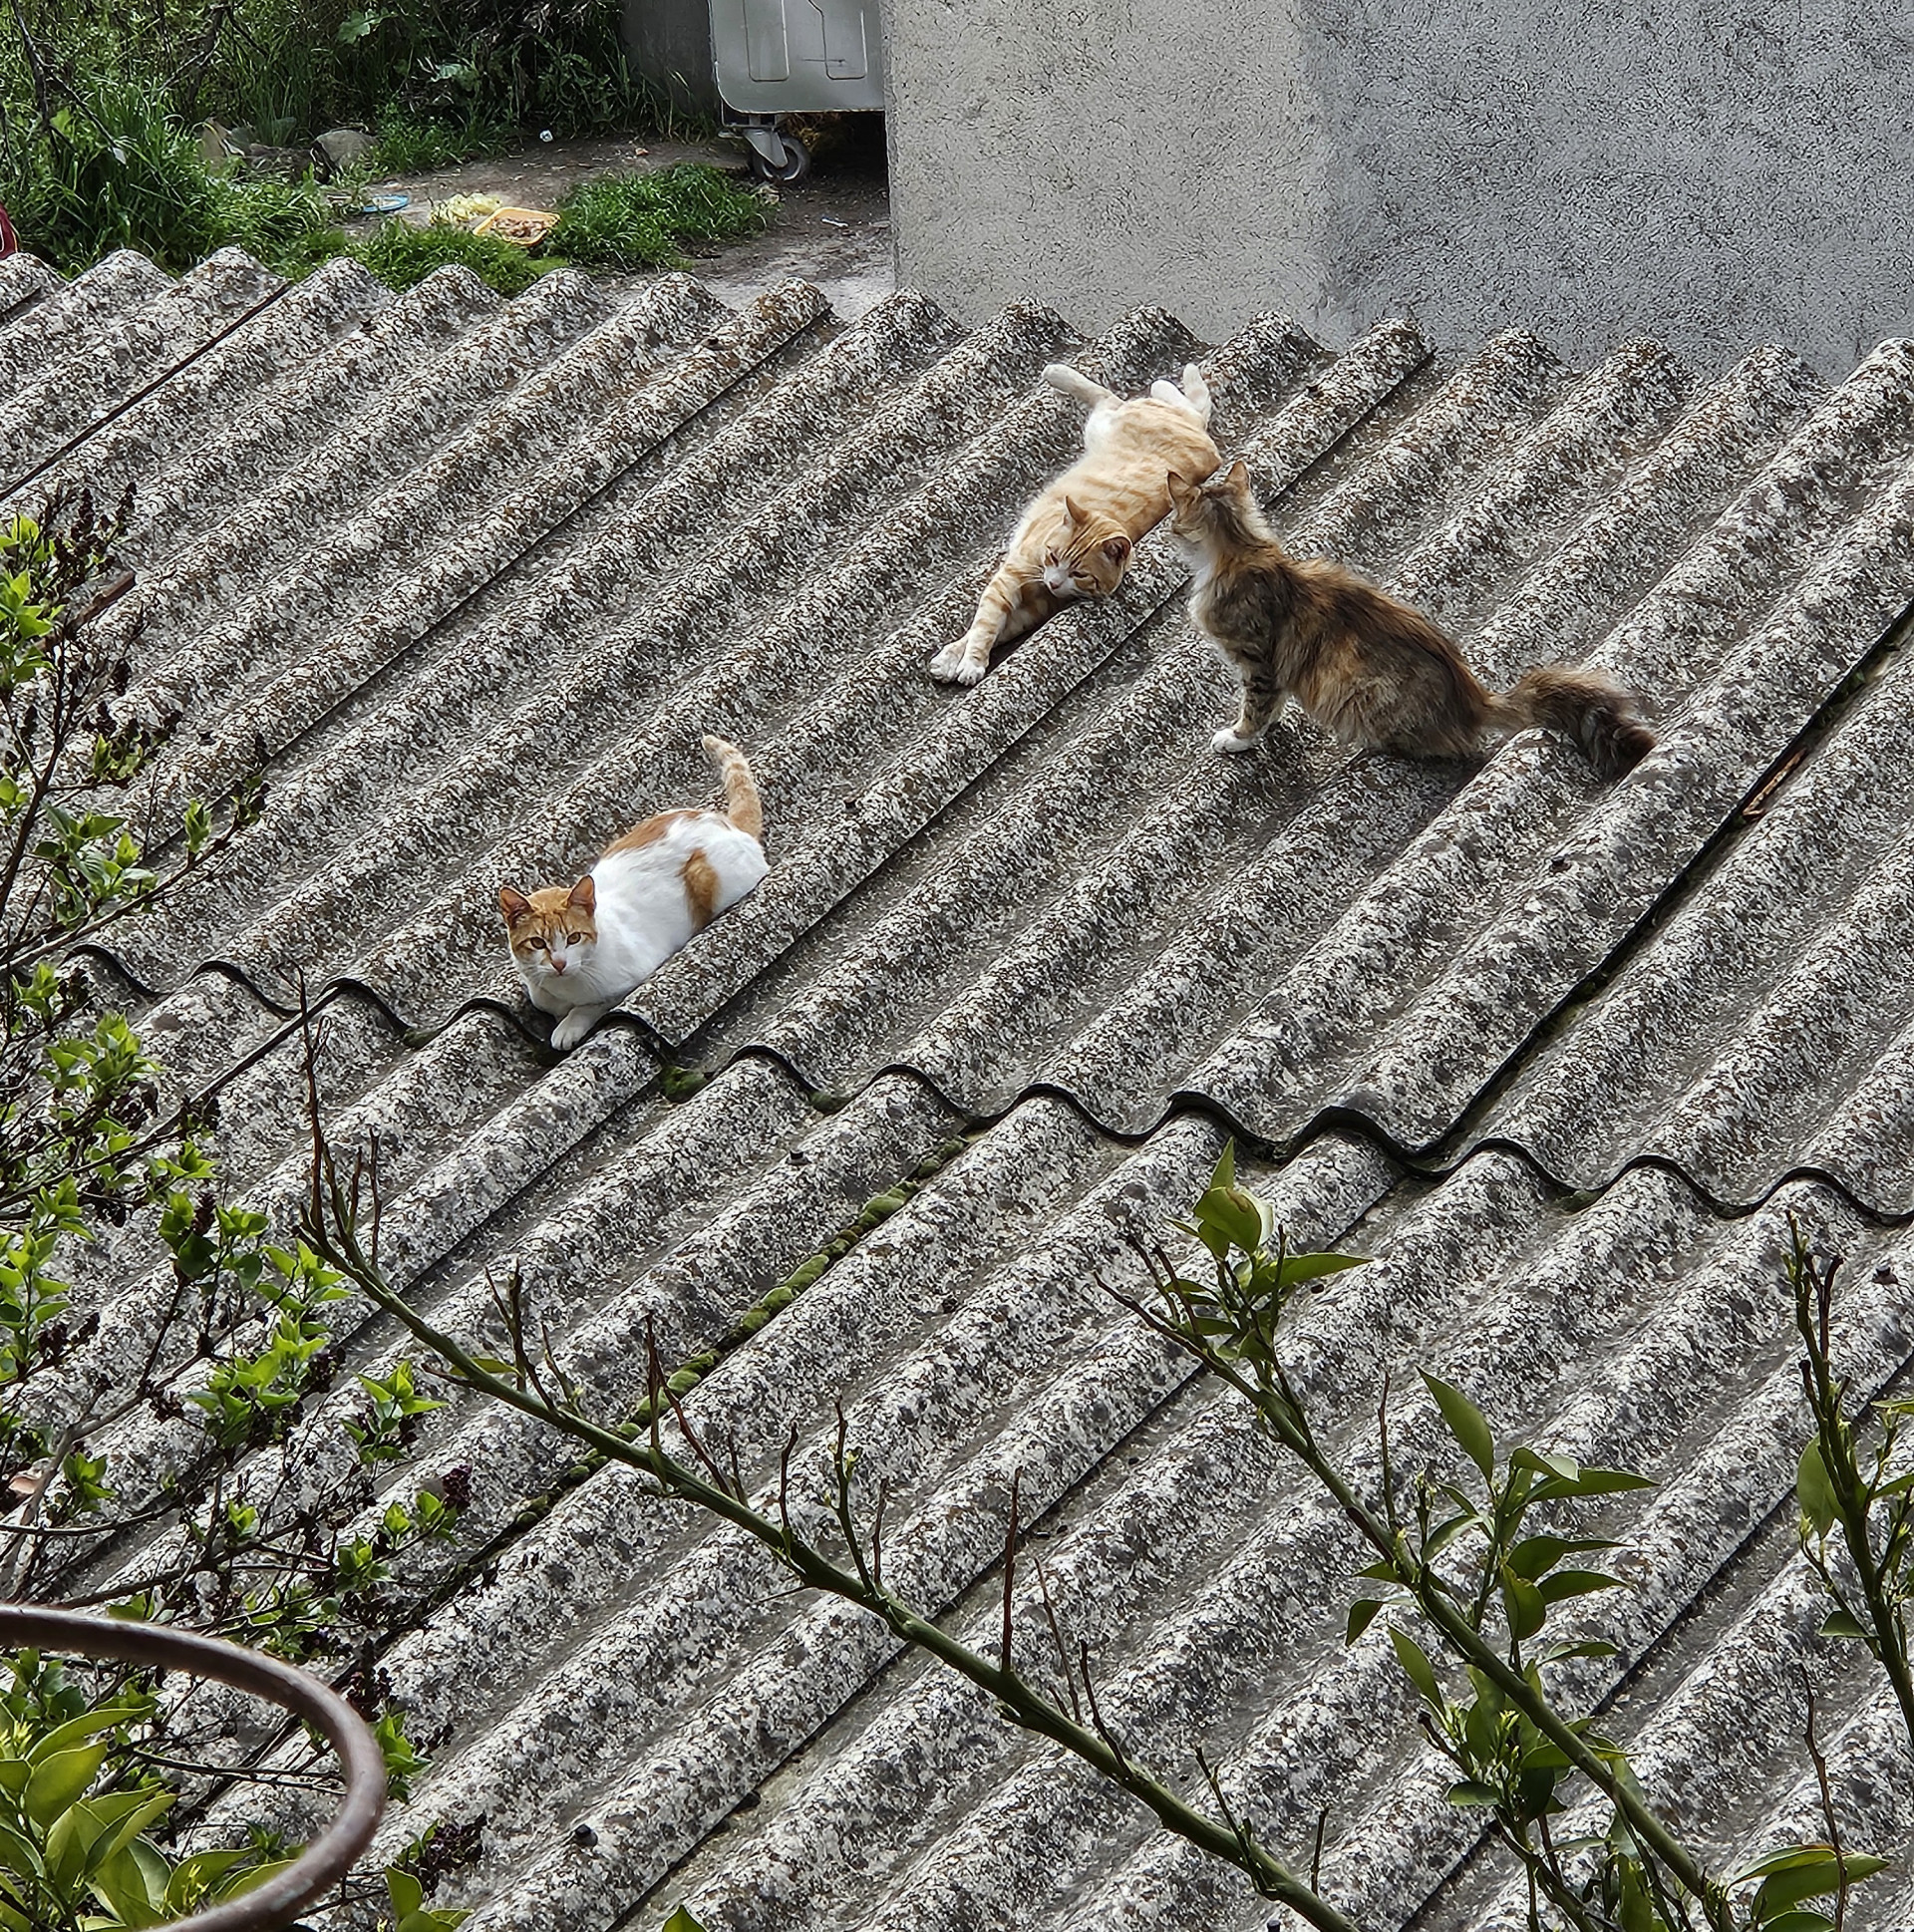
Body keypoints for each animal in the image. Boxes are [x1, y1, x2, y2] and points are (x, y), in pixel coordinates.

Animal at [498, 735, 768, 1049]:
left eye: (574, 937)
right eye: (537, 943)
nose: (559, 963)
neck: (563, 989)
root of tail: (729, 826)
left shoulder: (634, 977)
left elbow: (592, 1005)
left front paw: (569, 1026)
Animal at [927, 360, 1222, 687]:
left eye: (1079, 574)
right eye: (1053, 556)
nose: (1054, 583)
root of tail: (1207, 447)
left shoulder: (1034, 609)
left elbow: (994, 626)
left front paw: (965, 660)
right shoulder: (1009, 579)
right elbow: (985, 623)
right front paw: (962, 660)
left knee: (1144, 401)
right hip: (1109, 422)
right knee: (1120, 397)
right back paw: (1061, 373)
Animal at [1167, 461, 1655, 776]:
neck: (1240, 549)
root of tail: (1473, 700)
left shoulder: (1256, 659)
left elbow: (1255, 705)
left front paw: (1237, 737)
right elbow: (1274, 703)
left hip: (1364, 693)